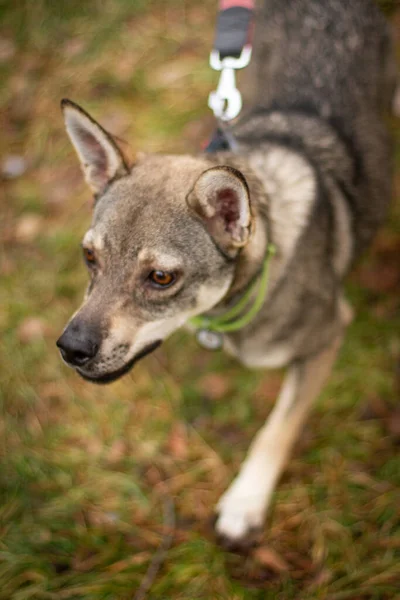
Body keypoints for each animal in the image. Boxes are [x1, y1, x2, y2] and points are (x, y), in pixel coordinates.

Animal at [57, 0, 396, 548]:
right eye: (90, 257)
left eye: (161, 278)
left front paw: (245, 502)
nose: (70, 349)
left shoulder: (327, 337)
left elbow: (276, 428)